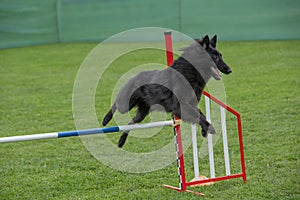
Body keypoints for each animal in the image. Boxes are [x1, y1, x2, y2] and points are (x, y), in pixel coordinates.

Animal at [102, 34, 231, 147]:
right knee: (116, 103)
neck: (189, 73)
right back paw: (105, 120)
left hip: (142, 113)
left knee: (131, 123)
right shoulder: (180, 106)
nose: (229, 70)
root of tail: (135, 76)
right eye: (215, 57)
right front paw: (209, 128)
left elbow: (201, 115)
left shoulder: (191, 104)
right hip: (126, 104)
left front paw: (204, 130)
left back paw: (121, 141)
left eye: (221, 55)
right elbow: (200, 116)